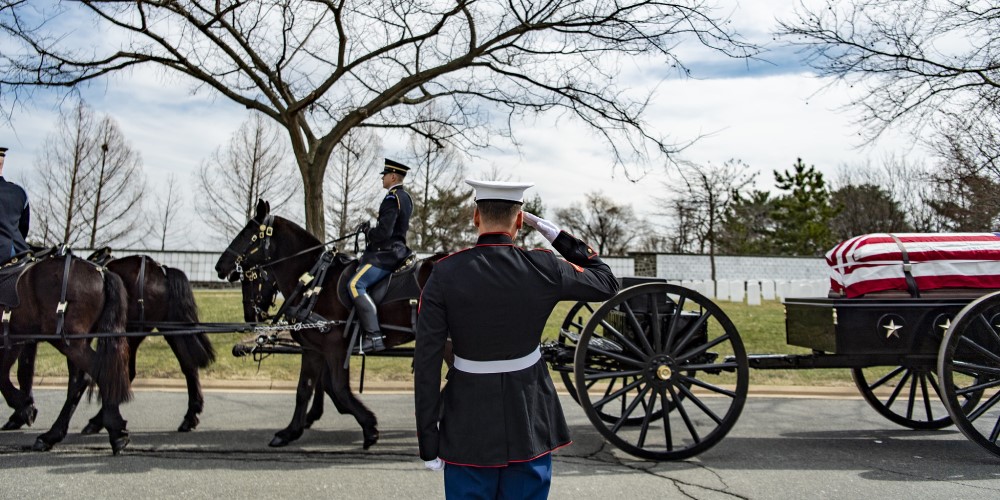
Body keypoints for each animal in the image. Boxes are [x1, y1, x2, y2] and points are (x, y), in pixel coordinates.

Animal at [0, 250, 131, 454]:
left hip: (69, 342)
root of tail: (101, 272)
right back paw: (52, 435)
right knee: (79, 381)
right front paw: (24, 407)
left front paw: (24, 406)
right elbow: (10, 373)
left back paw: (116, 431)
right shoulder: (15, 340)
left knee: (99, 372)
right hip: (76, 342)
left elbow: (4, 376)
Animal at [219, 201, 438, 448]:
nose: (220, 266)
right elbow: (305, 388)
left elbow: (338, 388)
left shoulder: (334, 347)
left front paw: (369, 426)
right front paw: (290, 431)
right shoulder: (313, 348)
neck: (315, 282)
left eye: (248, 234)